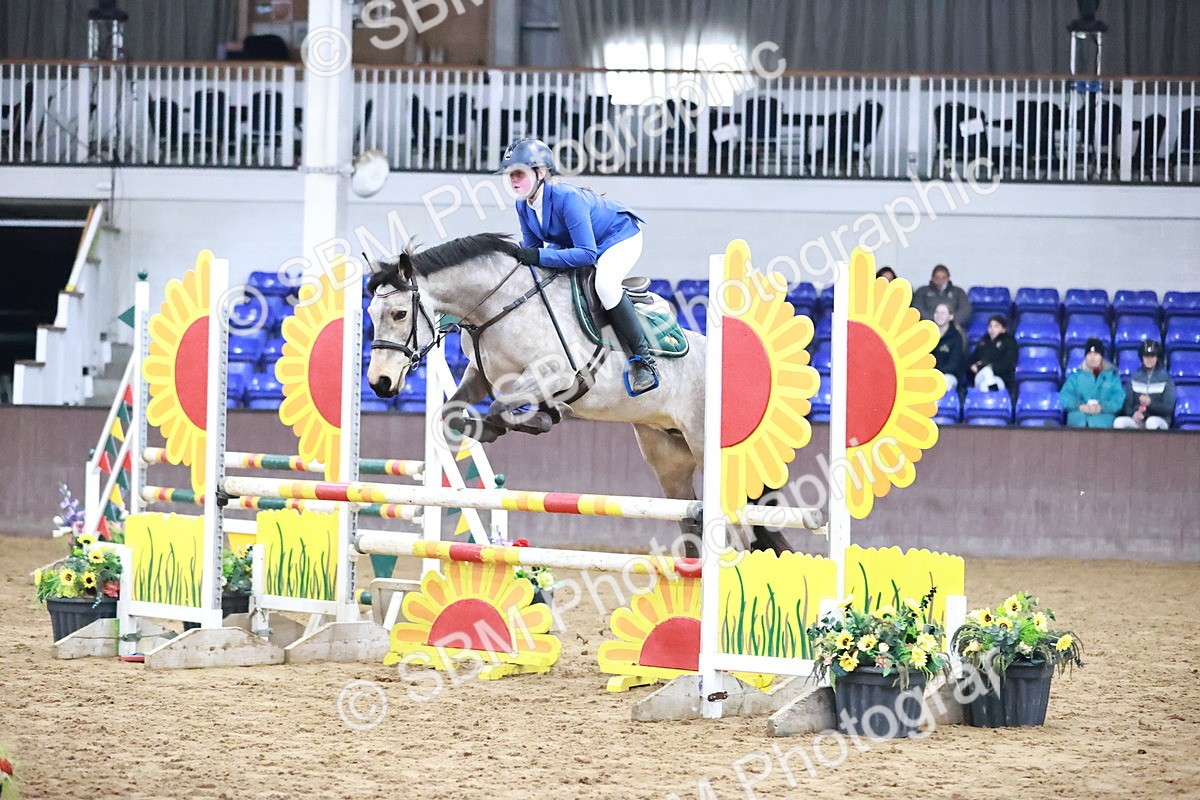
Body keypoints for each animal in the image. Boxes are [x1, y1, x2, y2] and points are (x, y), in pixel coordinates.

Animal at [365, 233, 789, 555]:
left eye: (400, 314)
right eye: (370, 314)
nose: (379, 383)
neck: (499, 306)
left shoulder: (553, 373)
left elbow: (504, 406)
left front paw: (536, 419)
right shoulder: (481, 377)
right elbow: (452, 412)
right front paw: (487, 428)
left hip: (706, 447)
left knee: (739, 531)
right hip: (667, 456)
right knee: (690, 518)